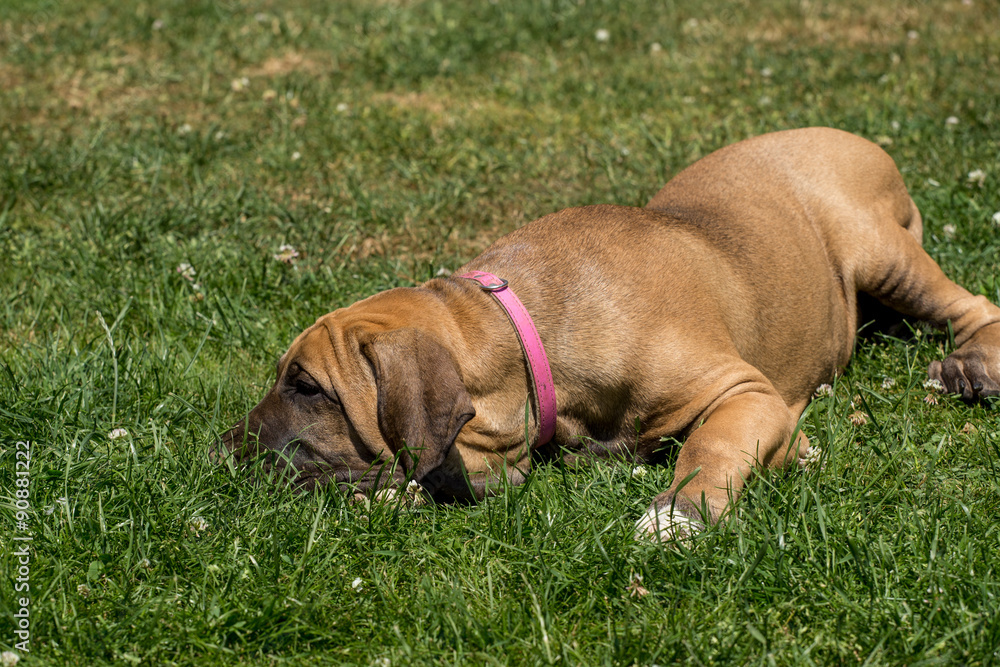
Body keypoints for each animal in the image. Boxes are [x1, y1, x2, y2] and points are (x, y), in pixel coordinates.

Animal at [223, 126, 1000, 544]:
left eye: (306, 386)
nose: (220, 450)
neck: (526, 337)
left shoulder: (744, 389)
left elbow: (713, 442)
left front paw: (678, 515)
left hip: (874, 244)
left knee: (972, 304)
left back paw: (969, 367)